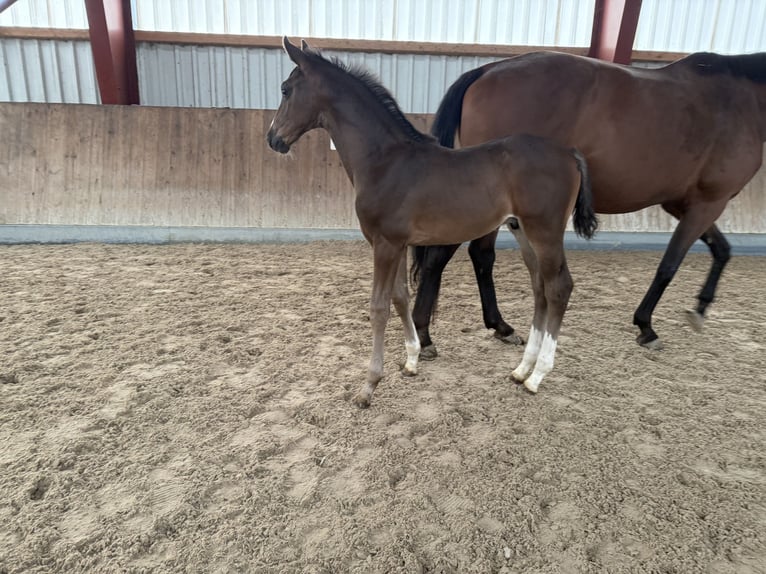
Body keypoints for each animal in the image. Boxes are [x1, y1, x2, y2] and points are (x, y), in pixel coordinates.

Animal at [267, 38, 598, 406]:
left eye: (285, 89)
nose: (273, 139)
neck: (385, 160)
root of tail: (569, 153)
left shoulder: (385, 244)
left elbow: (379, 306)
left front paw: (369, 386)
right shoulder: (397, 243)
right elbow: (400, 297)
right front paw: (411, 359)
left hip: (546, 231)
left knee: (559, 287)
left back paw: (537, 376)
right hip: (523, 231)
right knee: (540, 287)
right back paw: (521, 370)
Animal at [413, 50, 766, 358]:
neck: (741, 100)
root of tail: (486, 71)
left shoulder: (685, 204)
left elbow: (722, 250)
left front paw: (701, 308)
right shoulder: (709, 202)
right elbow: (669, 265)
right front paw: (647, 326)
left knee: (481, 255)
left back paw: (500, 326)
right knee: (444, 256)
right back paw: (425, 335)